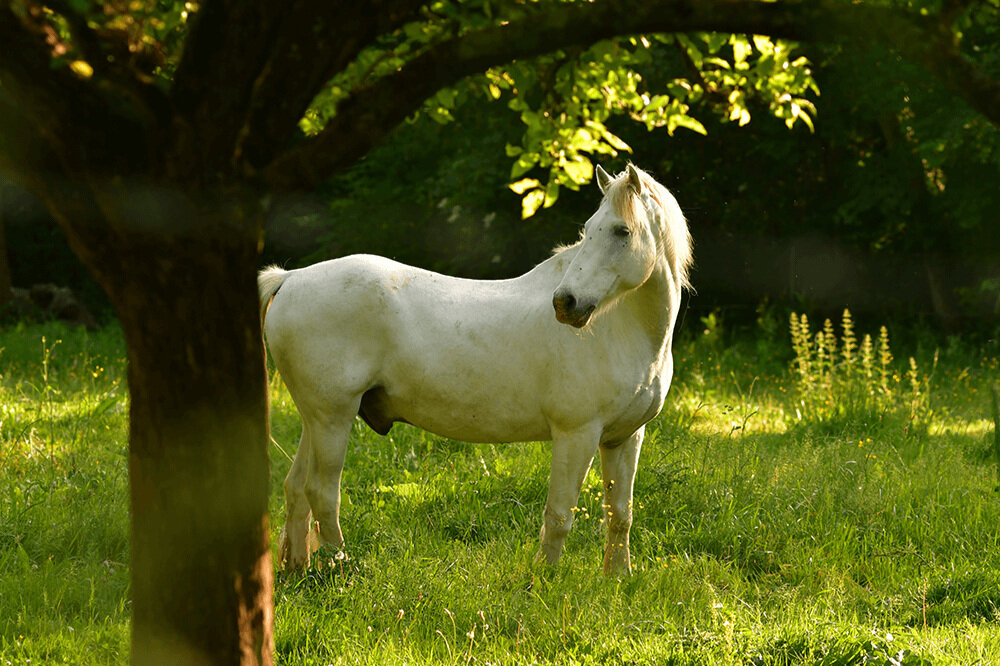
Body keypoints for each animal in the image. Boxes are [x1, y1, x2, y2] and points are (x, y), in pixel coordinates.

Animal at [259, 163, 692, 575]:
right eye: (588, 230)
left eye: (622, 230)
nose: (565, 304)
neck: (621, 329)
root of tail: (290, 278)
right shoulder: (577, 435)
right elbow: (559, 516)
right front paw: (545, 579)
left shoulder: (624, 438)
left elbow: (620, 515)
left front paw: (617, 577)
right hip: (333, 419)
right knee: (322, 492)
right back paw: (341, 565)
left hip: (317, 420)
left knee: (296, 488)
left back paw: (299, 567)